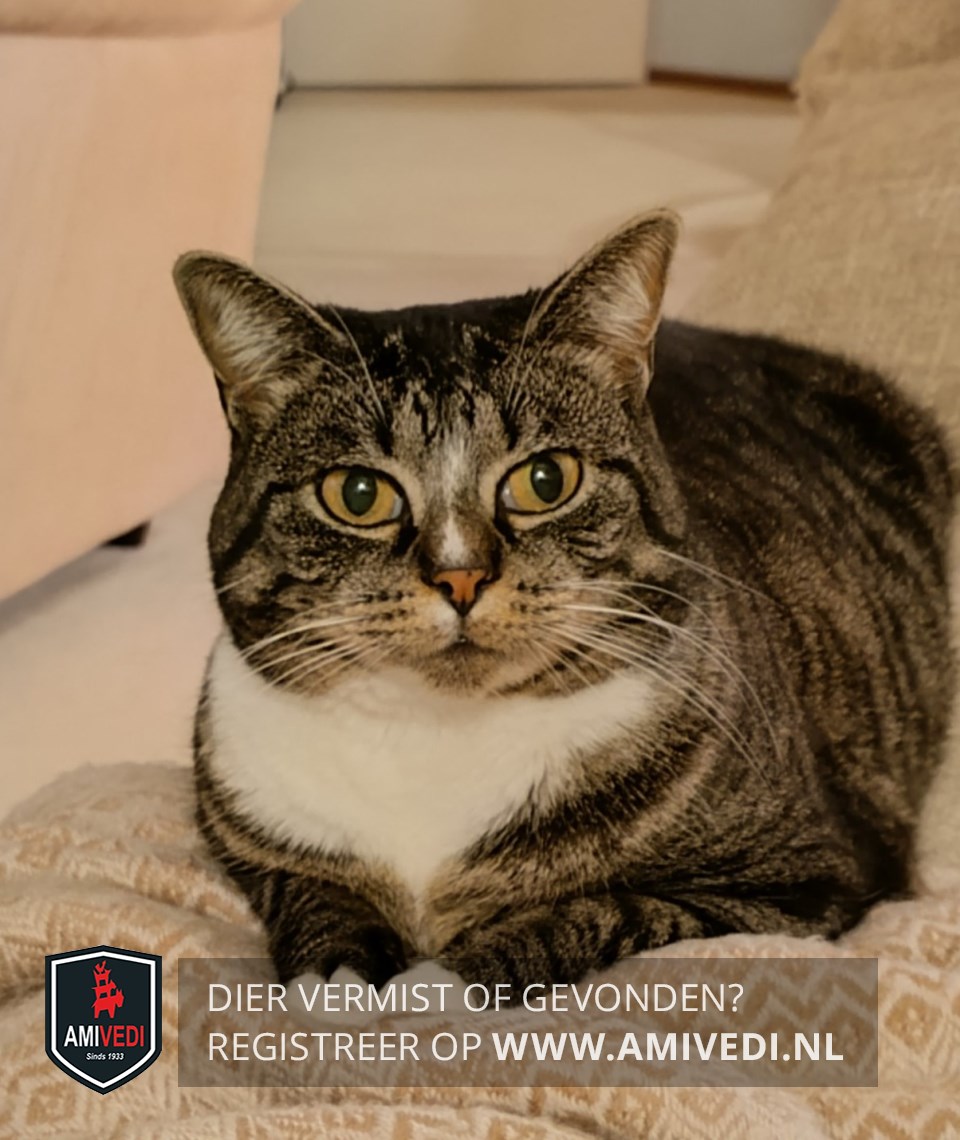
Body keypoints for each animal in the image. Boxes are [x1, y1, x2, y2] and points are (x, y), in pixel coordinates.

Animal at [174, 210, 955, 995]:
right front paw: (335, 977)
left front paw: (446, 979)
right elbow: (311, 894)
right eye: (357, 494)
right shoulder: (256, 847)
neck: (435, 739)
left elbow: (601, 913)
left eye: (546, 480)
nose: (461, 578)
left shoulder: (804, 881)